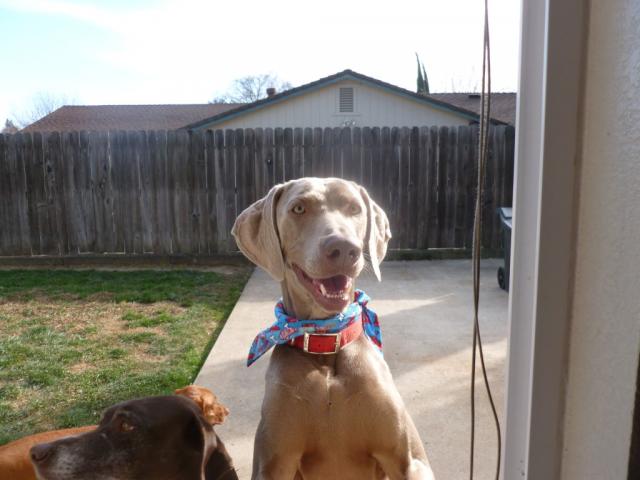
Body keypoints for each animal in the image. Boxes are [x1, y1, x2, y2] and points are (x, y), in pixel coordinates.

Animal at [232, 178, 432, 478]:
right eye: (298, 208)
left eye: (354, 208)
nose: (344, 250)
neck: (326, 340)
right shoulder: (274, 463)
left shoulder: (408, 461)